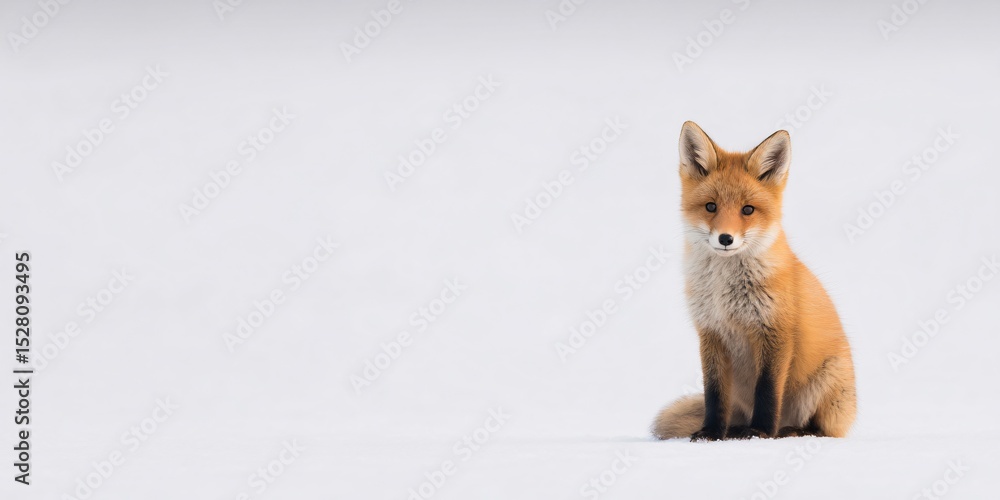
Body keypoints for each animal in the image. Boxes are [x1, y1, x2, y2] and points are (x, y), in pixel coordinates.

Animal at [652, 122, 856, 441]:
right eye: (710, 207)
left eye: (747, 210)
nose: (725, 238)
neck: (725, 291)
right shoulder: (710, 333)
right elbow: (714, 394)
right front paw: (711, 431)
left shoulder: (775, 331)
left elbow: (768, 391)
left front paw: (759, 431)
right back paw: (735, 428)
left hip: (826, 383)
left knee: (824, 428)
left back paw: (789, 430)